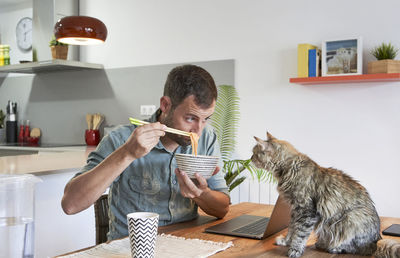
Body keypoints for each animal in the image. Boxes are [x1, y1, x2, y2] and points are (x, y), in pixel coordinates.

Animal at [252, 133, 398, 258]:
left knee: (358, 248)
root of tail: (377, 240)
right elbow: (292, 228)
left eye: (254, 153)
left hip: (350, 219)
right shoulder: (295, 210)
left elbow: (300, 233)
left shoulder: (306, 211)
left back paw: (333, 247)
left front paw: (294, 250)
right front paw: (286, 241)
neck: (289, 168)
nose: (250, 159)